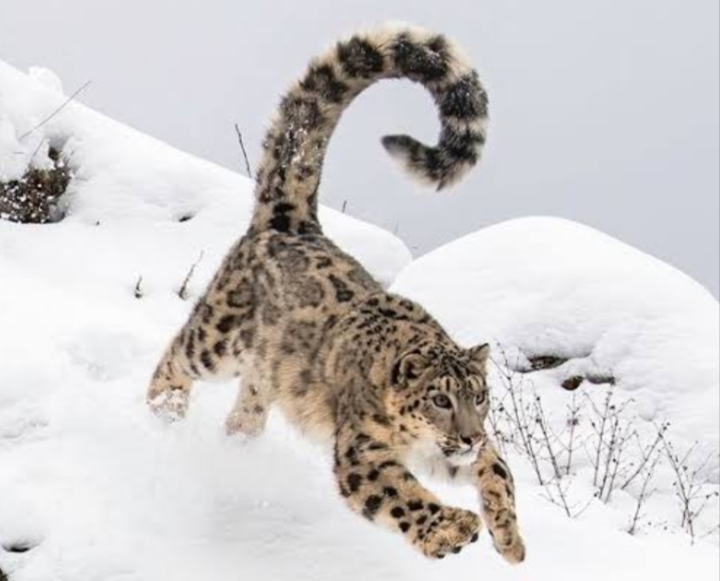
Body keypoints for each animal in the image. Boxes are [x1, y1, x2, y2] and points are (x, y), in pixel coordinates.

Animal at [147, 23, 525, 563]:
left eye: (480, 396)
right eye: (439, 398)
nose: (468, 435)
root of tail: (293, 223)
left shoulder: (457, 454)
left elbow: (498, 470)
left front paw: (510, 538)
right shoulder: (363, 451)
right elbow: (401, 496)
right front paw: (450, 530)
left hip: (263, 379)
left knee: (243, 414)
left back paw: (233, 448)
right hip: (219, 337)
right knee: (177, 355)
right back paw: (164, 411)